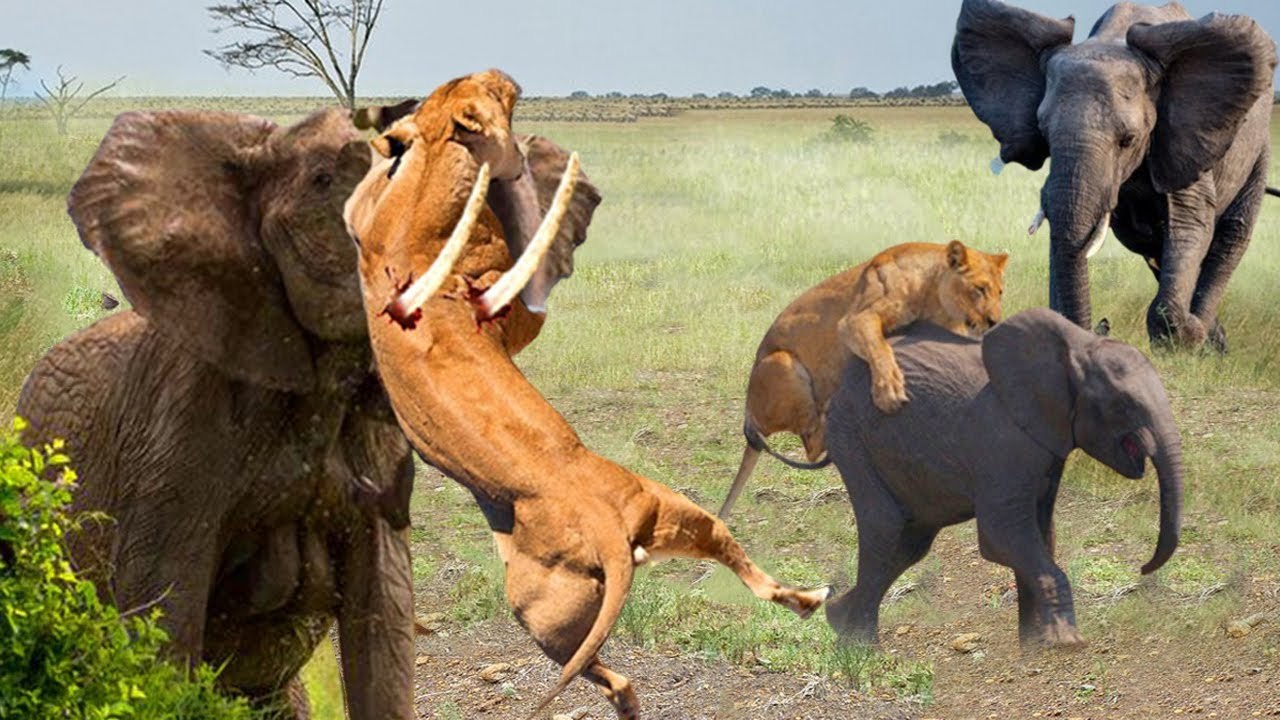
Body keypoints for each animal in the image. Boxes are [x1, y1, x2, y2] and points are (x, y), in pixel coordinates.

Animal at [717, 240, 1009, 519]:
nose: (994, 321)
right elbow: (880, 348)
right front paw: (888, 391)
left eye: (999, 292)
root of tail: (749, 418)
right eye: (979, 289)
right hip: (782, 362)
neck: (932, 291)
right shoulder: (855, 319)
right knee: (812, 445)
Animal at [822, 308, 1182, 648]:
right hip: (850, 437)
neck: (1077, 346)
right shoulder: (1002, 439)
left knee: (910, 543)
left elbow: (1041, 535)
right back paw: (863, 648)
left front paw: (1034, 646)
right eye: (1123, 404)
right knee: (885, 528)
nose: (1142, 568)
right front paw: (1067, 643)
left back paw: (839, 621)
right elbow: (1003, 535)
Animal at [953, 0, 1278, 351]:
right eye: (1044, 132)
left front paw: (1186, 336)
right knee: (1153, 244)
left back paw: (1206, 339)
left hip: (1258, 149)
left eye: (1129, 140)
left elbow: (1190, 223)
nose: (1101, 326)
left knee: (1231, 236)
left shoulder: (1184, 137)